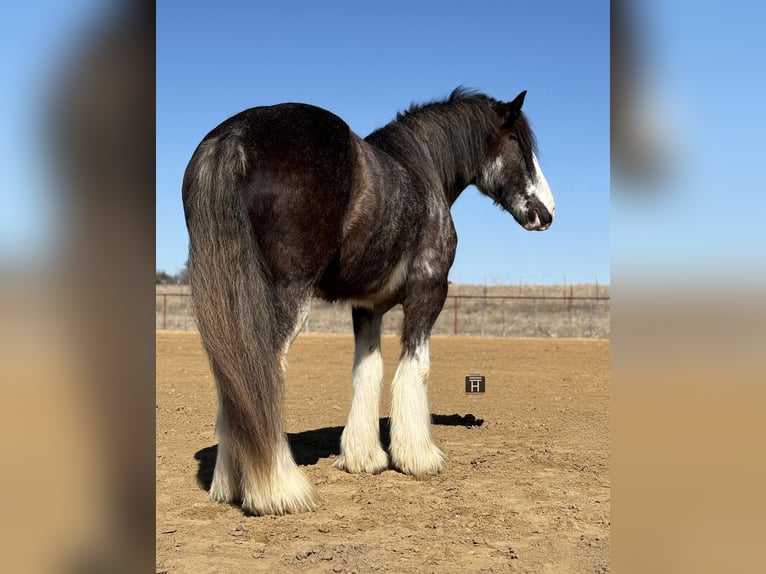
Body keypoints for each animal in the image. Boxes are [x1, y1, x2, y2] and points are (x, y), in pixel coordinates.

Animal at [182, 87, 555, 516]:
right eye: (518, 143)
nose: (547, 213)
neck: (421, 170)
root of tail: (233, 138)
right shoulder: (428, 291)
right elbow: (415, 367)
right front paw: (419, 457)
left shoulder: (366, 307)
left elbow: (367, 370)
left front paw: (364, 458)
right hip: (284, 297)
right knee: (262, 372)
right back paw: (280, 490)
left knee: (236, 377)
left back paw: (230, 484)